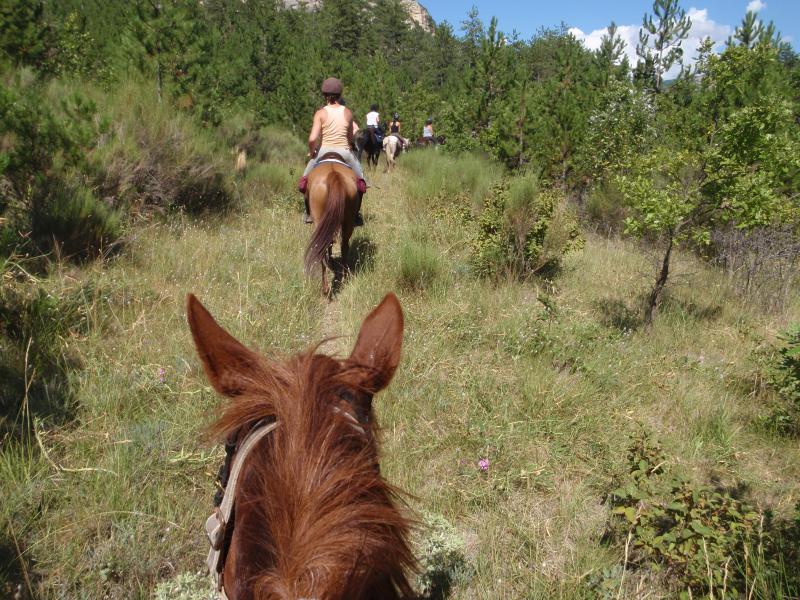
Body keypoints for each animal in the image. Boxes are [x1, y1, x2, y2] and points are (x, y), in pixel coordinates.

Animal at [304, 159, 358, 296]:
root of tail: (334, 175)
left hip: (319, 221)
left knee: (323, 248)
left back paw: (325, 288)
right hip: (348, 220)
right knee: (344, 245)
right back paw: (345, 275)